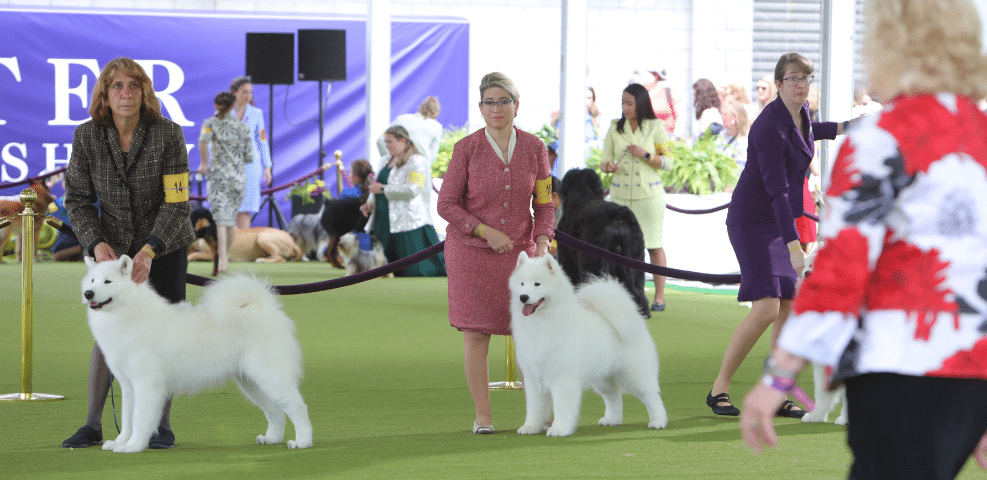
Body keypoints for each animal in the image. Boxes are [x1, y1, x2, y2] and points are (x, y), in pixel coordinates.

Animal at [81, 256, 312, 452]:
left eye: (108, 281)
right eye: (92, 280)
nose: (88, 293)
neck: (129, 314)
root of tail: (262, 307)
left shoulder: (146, 383)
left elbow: (139, 418)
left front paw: (133, 446)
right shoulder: (128, 385)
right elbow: (127, 418)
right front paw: (120, 442)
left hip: (269, 375)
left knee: (298, 407)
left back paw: (302, 442)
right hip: (251, 382)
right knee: (275, 411)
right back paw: (271, 438)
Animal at [510, 253, 672, 436]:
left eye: (537, 283)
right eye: (522, 284)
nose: (523, 297)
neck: (542, 321)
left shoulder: (563, 379)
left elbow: (561, 407)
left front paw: (559, 429)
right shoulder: (533, 379)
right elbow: (534, 407)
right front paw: (531, 427)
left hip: (634, 375)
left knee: (652, 397)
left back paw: (658, 421)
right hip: (604, 378)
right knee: (614, 397)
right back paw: (612, 420)